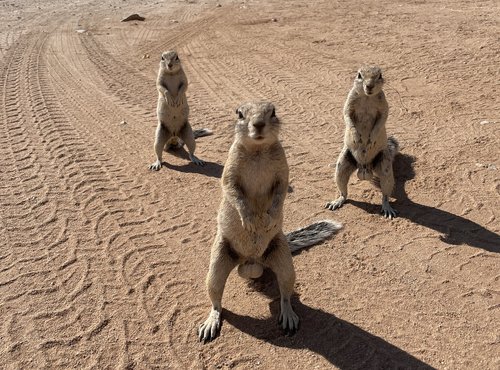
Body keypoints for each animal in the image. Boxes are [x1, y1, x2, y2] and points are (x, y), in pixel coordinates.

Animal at [197, 100, 342, 342]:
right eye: (239, 113)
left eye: (273, 111)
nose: (258, 124)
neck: (257, 151)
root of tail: (251, 261)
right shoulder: (230, 171)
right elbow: (233, 192)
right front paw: (249, 220)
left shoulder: (283, 172)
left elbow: (280, 193)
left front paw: (270, 218)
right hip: (218, 263)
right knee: (216, 300)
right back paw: (211, 321)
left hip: (283, 260)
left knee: (285, 295)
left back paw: (289, 316)